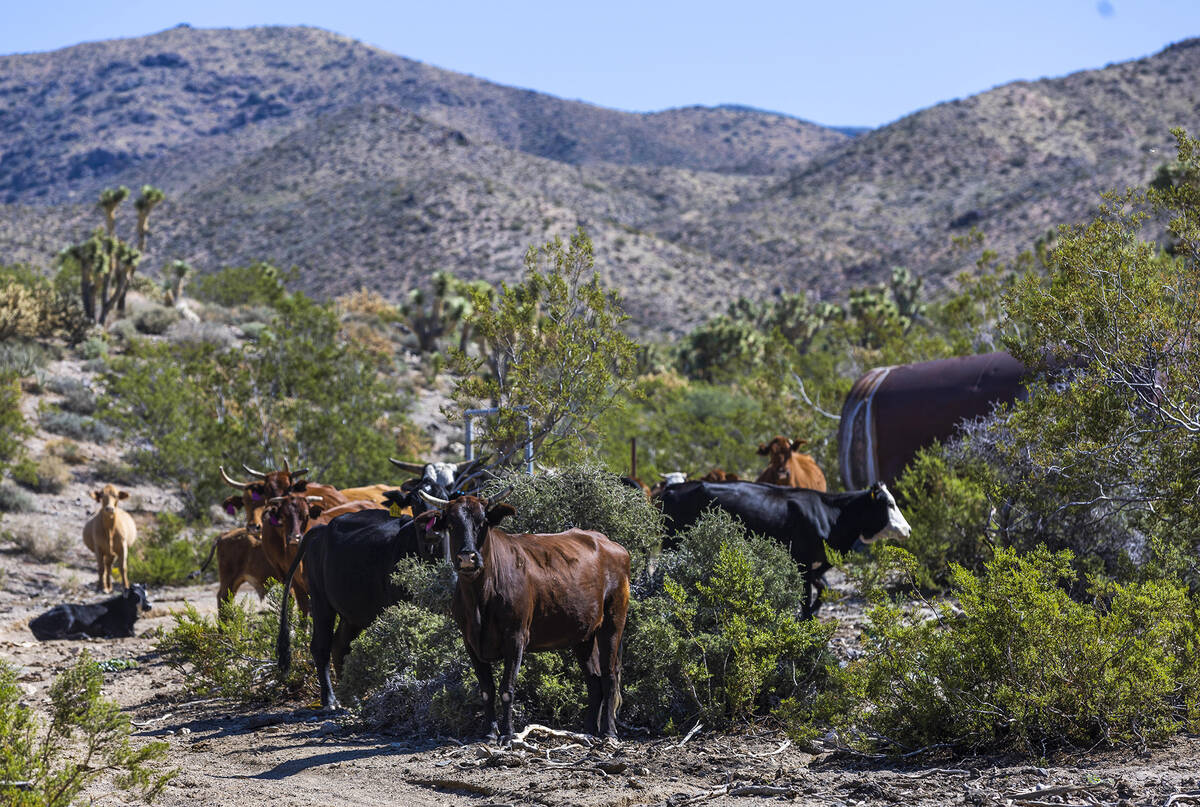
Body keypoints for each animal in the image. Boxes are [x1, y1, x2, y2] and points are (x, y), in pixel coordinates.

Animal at [276, 477, 453, 710]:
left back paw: (350, 696)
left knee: (340, 645)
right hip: (321, 600)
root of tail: (321, 530)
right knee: (321, 646)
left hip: (353, 614)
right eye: (415, 502)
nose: (430, 527)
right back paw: (329, 699)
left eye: (444, 499)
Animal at [413, 491, 631, 741]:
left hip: (614, 622)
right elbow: (487, 690)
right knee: (594, 680)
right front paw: (490, 732)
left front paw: (508, 734)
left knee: (609, 676)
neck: (480, 598)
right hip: (583, 635)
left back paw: (609, 731)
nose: (467, 558)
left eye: (483, 522)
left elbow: (507, 689)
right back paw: (588, 731)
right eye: (451, 524)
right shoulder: (470, 642)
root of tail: (610, 544)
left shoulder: (515, 637)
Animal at [659, 481, 910, 618]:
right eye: (890, 504)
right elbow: (806, 597)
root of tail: (672, 489)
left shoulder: (815, 564)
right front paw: (806, 620)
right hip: (673, 546)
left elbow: (823, 588)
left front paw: (813, 613)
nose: (907, 529)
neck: (830, 515)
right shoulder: (803, 561)